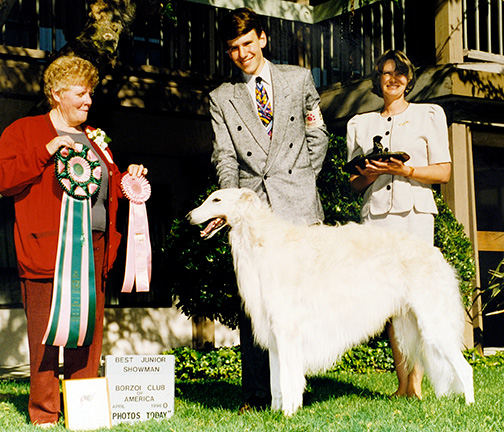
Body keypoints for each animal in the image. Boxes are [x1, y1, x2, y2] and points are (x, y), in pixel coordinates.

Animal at [187, 188, 474, 416]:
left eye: (216, 199)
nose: (189, 216)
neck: (261, 241)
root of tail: (437, 254)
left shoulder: (288, 332)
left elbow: (289, 380)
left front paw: (288, 413)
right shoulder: (275, 337)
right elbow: (277, 382)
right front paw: (276, 412)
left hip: (435, 325)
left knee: (466, 368)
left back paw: (470, 406)